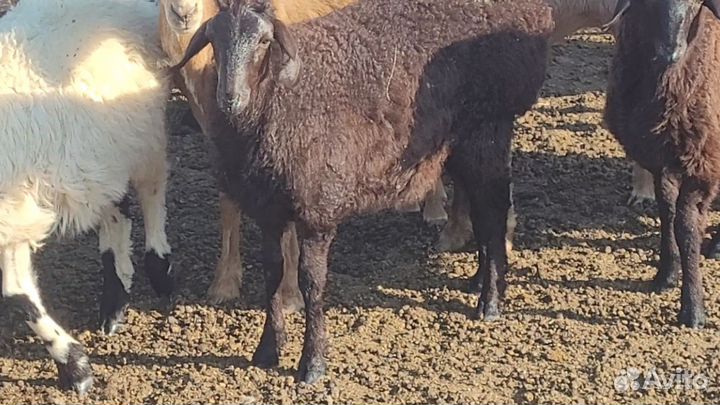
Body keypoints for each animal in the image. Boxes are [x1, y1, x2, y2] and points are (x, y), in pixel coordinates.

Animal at [0, 0, 173, 393]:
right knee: (116, 209)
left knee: (152, 188)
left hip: (138, 126)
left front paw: (76, 369)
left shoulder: (12, 214)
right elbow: (17, 295)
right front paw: (73, 365)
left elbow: (16, 294)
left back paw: (159, 266)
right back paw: (115, 299)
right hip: (100, 150)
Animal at [171, 0, 553, 383]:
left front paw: (312, 363)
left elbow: (311, 283)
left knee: (494, 214)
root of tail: (529, 14)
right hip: (456, 145)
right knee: (481, 211)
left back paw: (490, 302)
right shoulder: (268, 208)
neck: (279, 98)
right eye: (215, 41)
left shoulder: (317, 208)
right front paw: (267, 349)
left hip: (487, 129)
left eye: (265, 41)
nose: (230, 99)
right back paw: (478, 282)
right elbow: (272, 276)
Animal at [603, 0, 720, 328]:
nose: (670, 53)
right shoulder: (660, 159)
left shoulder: (700, 166)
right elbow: (666, 212)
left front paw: (693, 309)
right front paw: (666, 274)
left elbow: (686, 226)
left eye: (697, 3)